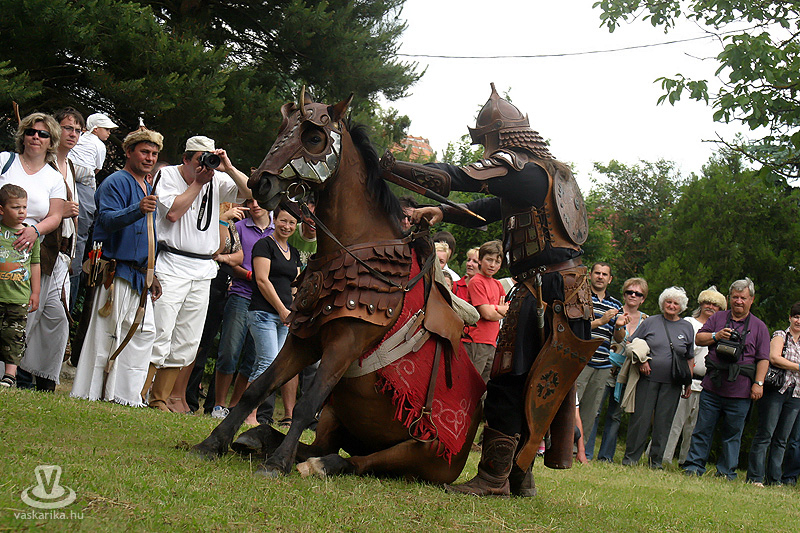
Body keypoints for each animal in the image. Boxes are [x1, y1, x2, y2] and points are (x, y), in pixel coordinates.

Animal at [192, 89, 484, 483]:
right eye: (282, 129)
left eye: (314, 137)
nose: (259, 183)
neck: (355, 251)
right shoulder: (304, 337)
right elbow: (258, 387)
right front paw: (215, 442)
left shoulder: (345, 342)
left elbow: (307, 403)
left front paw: (276, 465)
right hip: (338, 419)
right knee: (319, 444)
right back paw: (259, 438)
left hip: (419, 453)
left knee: (357, 462)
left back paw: (313, 464)